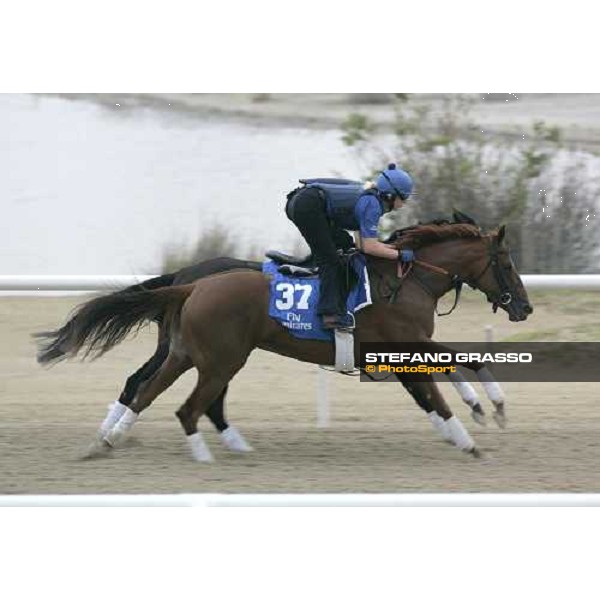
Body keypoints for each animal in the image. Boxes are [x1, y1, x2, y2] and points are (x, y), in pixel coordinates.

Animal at [36, 223, 528, 462]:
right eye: (506, 262)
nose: (524, 307)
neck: (406, 279)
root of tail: (189, 282)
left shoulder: (397, 351)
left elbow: (433, 388)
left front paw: (471, 418)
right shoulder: (406, 342)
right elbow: (454, 370)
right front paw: (486, 413)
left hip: (191, 353)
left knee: (150, 389)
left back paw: (110, 440)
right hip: (221, 358)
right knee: (185, 401)